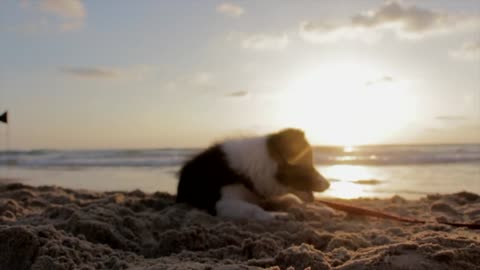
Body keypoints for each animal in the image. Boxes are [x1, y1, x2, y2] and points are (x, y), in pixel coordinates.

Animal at [176, 128, 330, 219]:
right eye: (308, 165)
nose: (328, 184)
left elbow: (294, 201)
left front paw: (320, 210)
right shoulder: (222, 203)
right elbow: (254, 209)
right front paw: (276, 215)